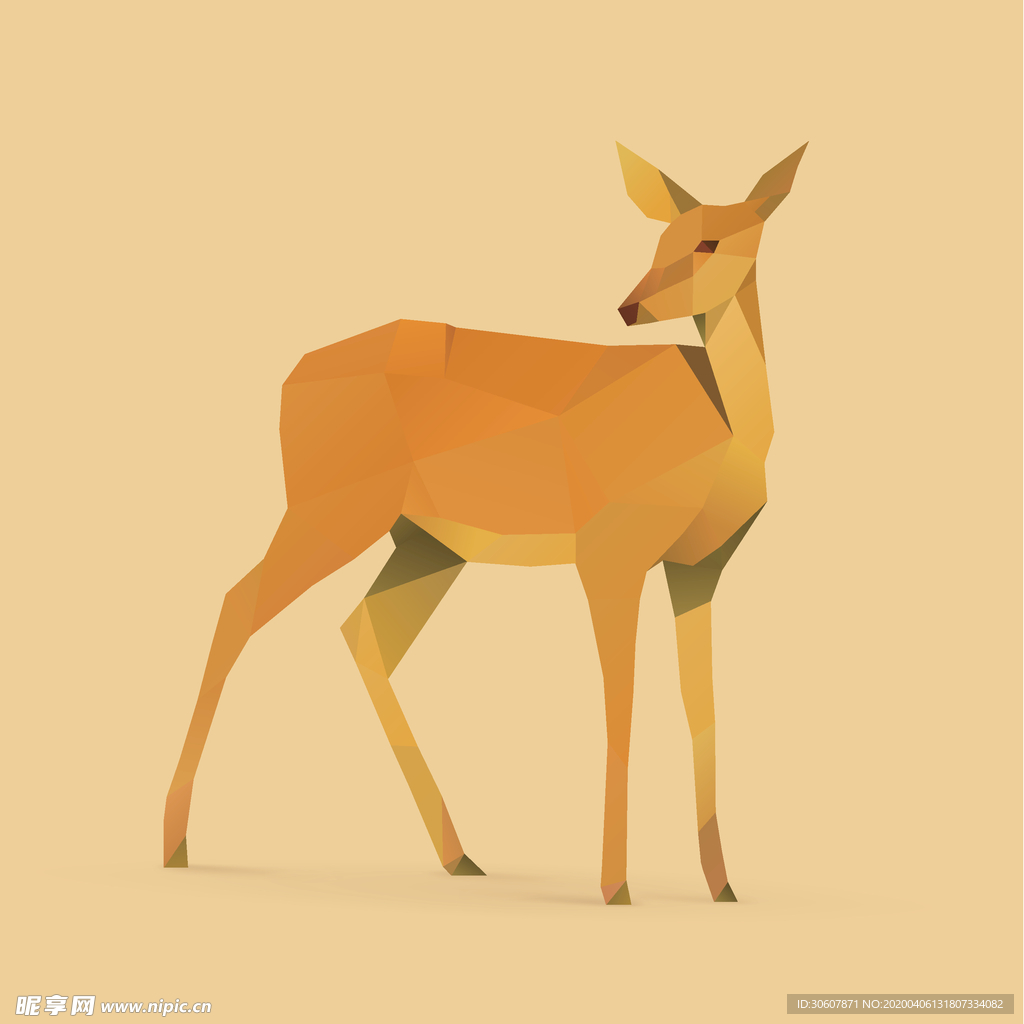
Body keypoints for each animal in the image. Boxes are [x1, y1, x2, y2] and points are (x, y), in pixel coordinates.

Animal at [163, 141, 807, 905]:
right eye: (660, 238)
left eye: (709, 240)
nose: (629, 307)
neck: (722, 432)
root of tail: (291, 376)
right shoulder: (609, 552)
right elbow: (618, 704)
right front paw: (615, 888)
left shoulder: (698, 569)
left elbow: (701, 710)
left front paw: (722, 887)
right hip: (331, 508)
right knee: (240, 603)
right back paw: (176, 845)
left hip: (425, 543)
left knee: (361, 631)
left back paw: (460, 855)